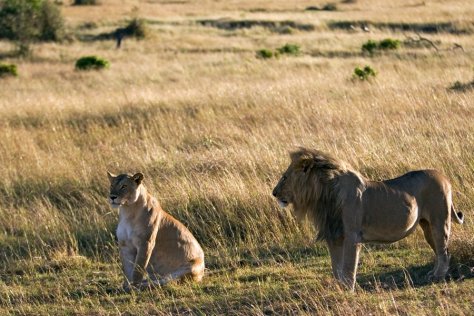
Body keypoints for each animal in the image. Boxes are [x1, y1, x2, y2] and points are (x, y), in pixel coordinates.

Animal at [272, 149, 464, 292]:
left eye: (285, 177)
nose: (274, 193)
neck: (323, 196)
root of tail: (444, 177)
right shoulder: (334, 235)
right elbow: (336, 266)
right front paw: (339, 287)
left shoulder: (351, 235)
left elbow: (348, 265)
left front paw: (348, 289)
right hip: (427, 226)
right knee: (441, 251)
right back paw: (433, 273)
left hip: (439, 222)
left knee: (443, 251)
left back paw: (438, 276)